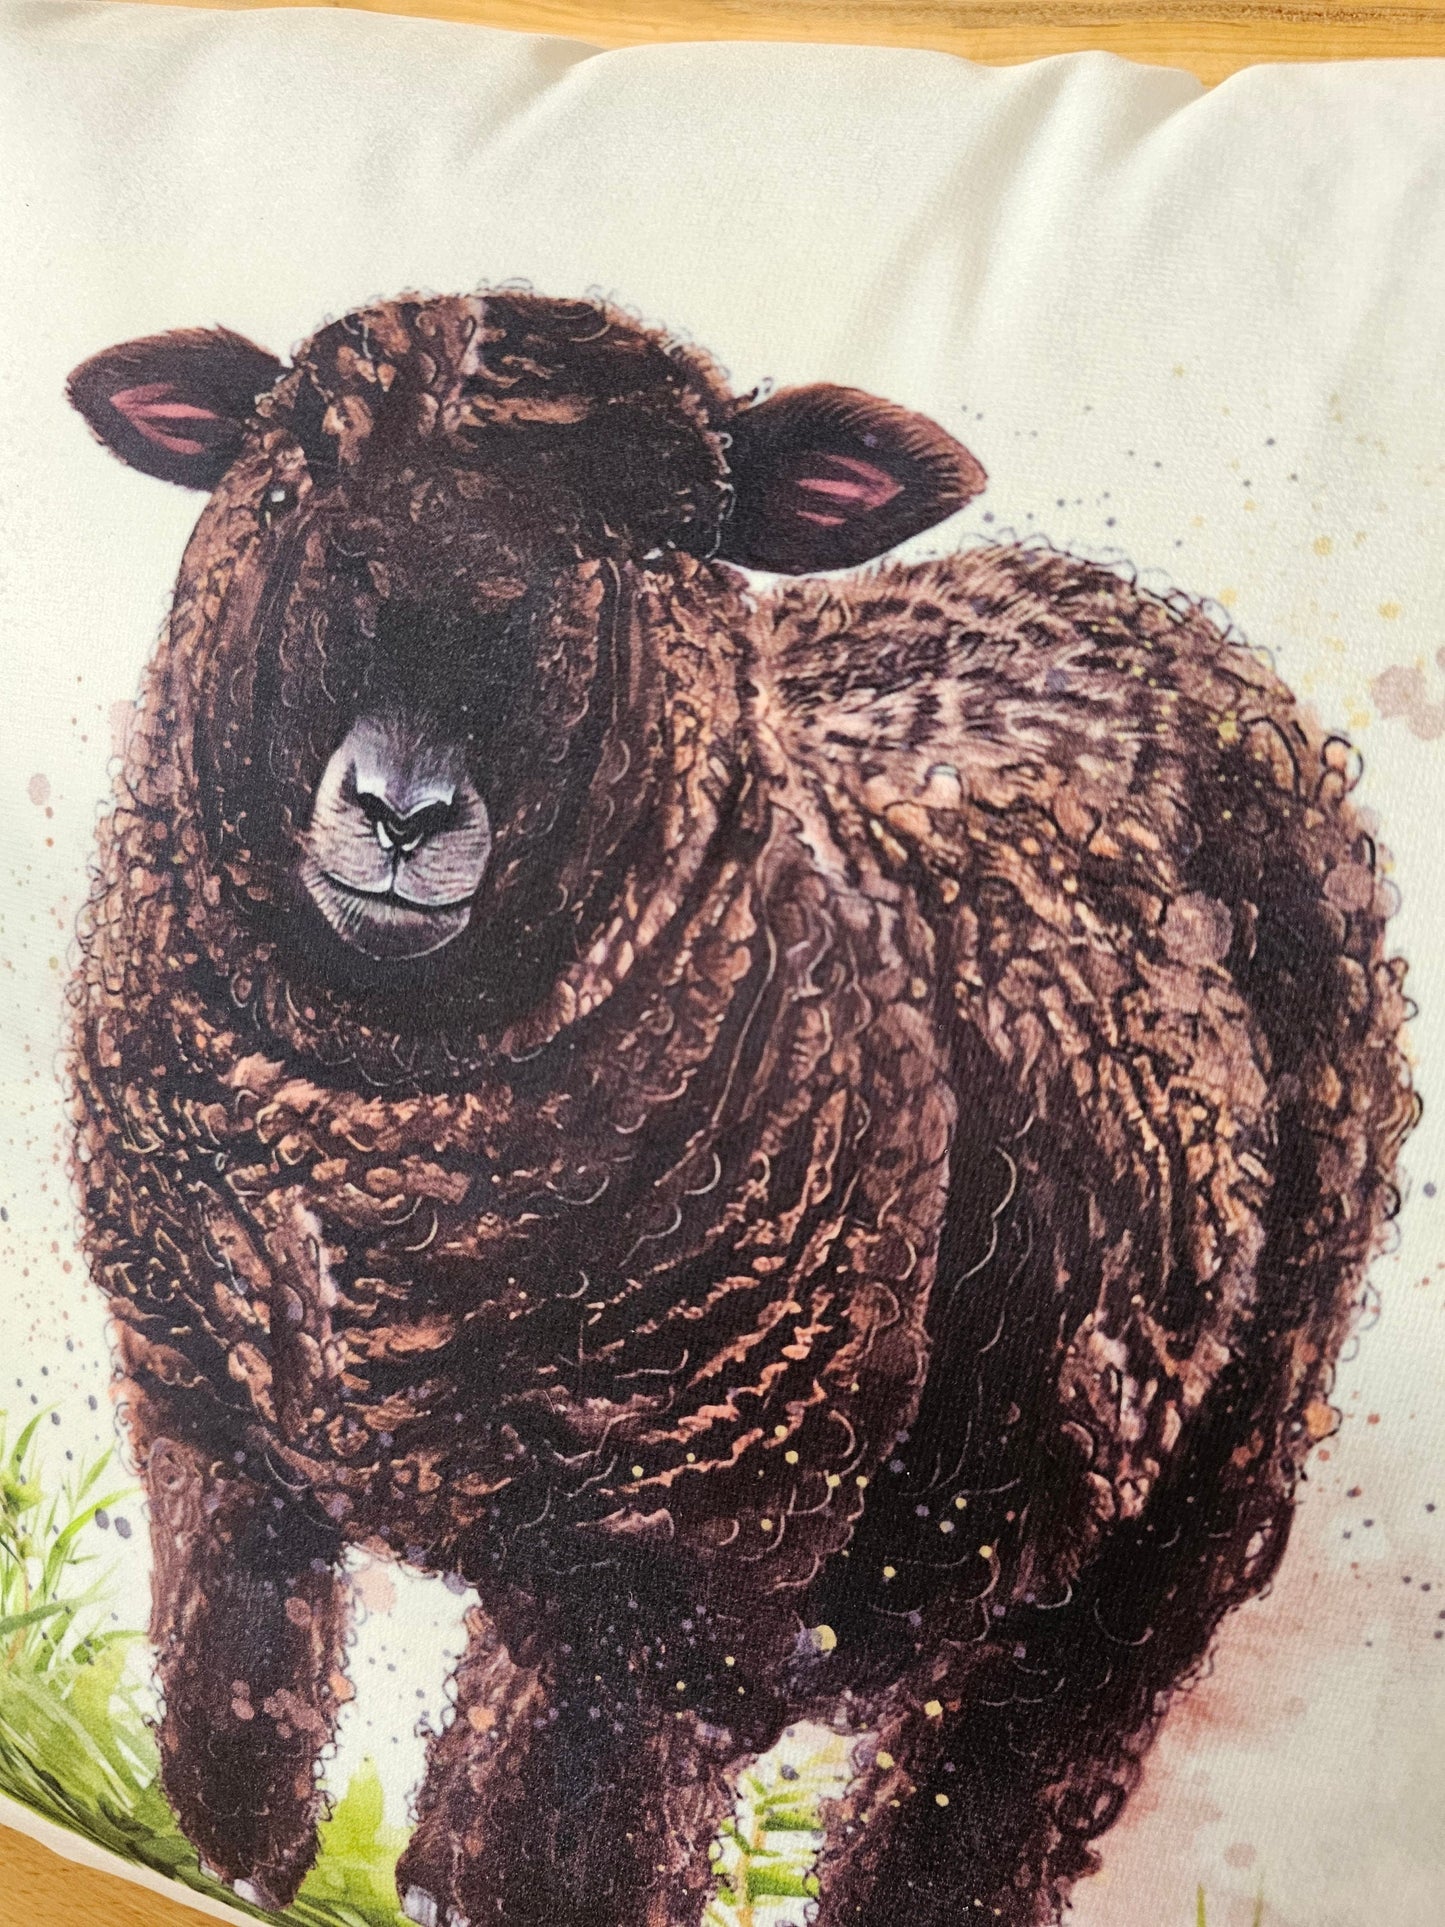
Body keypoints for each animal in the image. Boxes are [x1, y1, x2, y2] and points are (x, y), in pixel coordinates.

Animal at [65, 290, 1414, 1927]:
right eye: (290, 494)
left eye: (660, 548)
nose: (400, 808)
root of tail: (1118, 600)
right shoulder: (211, 1439)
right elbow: (234, 1754)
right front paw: (225, 1863)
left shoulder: (660, 1581)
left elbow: (543, 1866)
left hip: (1181, 1514)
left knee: (988, 1790)